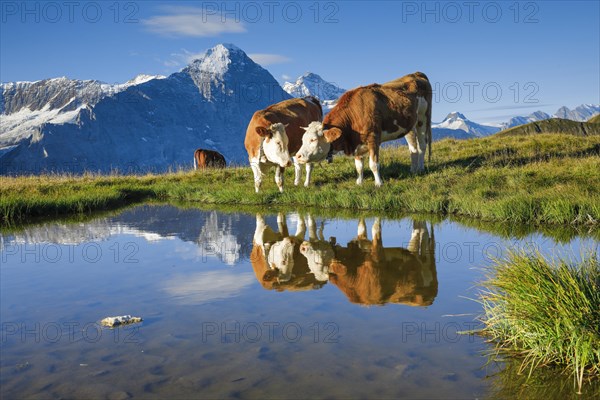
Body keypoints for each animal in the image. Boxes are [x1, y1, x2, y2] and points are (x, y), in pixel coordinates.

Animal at [296, 72, 432, 186]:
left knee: (422, 145)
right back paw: (413, 170)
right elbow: (359, 166)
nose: (298, 156)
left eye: (313, 140)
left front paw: (379, 184)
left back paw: (420, 168)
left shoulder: (373, 139)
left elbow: (374, 165)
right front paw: (359, 182)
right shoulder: (356, 144)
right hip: (409, 126)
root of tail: (415, 73)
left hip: (423, 118)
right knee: (413, 148)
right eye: (302, 140)